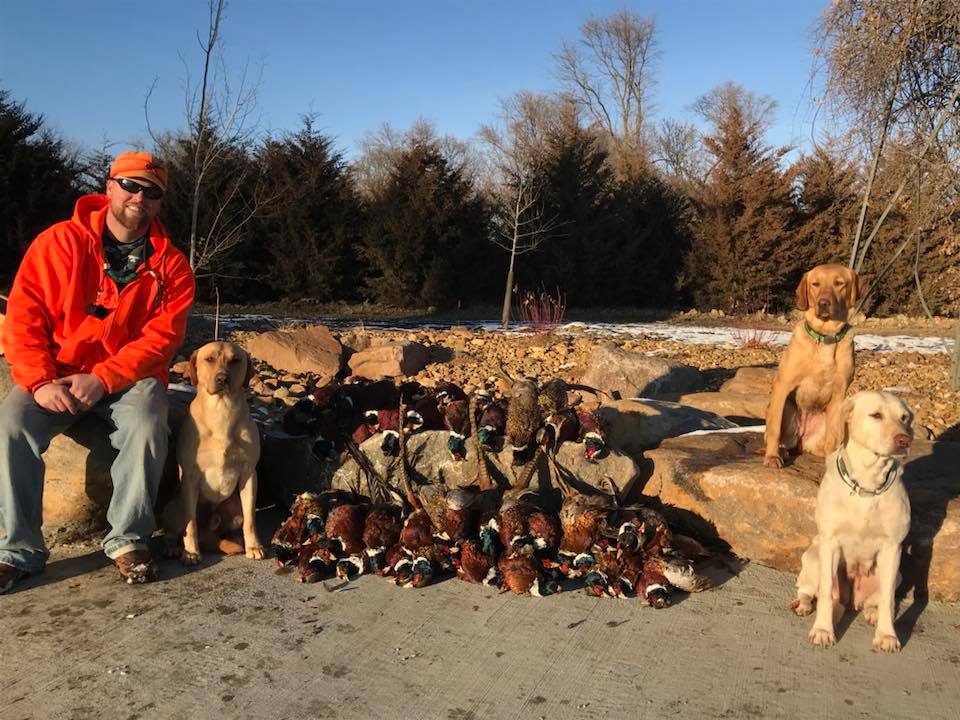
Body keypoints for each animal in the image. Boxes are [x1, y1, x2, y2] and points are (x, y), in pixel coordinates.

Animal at [164, 340, 262, 564]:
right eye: (209, 359)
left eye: (236, 360)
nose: (222, 378)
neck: (221, 412)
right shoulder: (190, 477)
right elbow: (190, 523)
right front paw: (191, 552)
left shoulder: (249, 474)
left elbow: (251, 519)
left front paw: (254, 546)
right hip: (175, 506)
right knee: (175, 531)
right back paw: (174, 547)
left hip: (235, 510)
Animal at [764, 262, 872, 466]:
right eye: (815, 284)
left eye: (839, 283)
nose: (823, 303)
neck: (825, 338)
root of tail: (801, 440)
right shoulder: (783, 386)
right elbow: (774, 428)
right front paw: (772, 457)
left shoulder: (839, 393)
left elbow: (833, 435)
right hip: (787, 409)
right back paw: (780, 451)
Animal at [792, 390, 912, 656]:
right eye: (876, 415)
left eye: (905, 417)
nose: (905, 440)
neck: (867, 484)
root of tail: (851, 602)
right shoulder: (830, 543)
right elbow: (826, 594)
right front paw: (823, 630)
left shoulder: (892, 548)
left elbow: (888, 600)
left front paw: (887, 635)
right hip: (814, 557)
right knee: (810, 589)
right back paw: (803, 604)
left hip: (897, 574)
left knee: (877, 599)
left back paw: (871, 612)